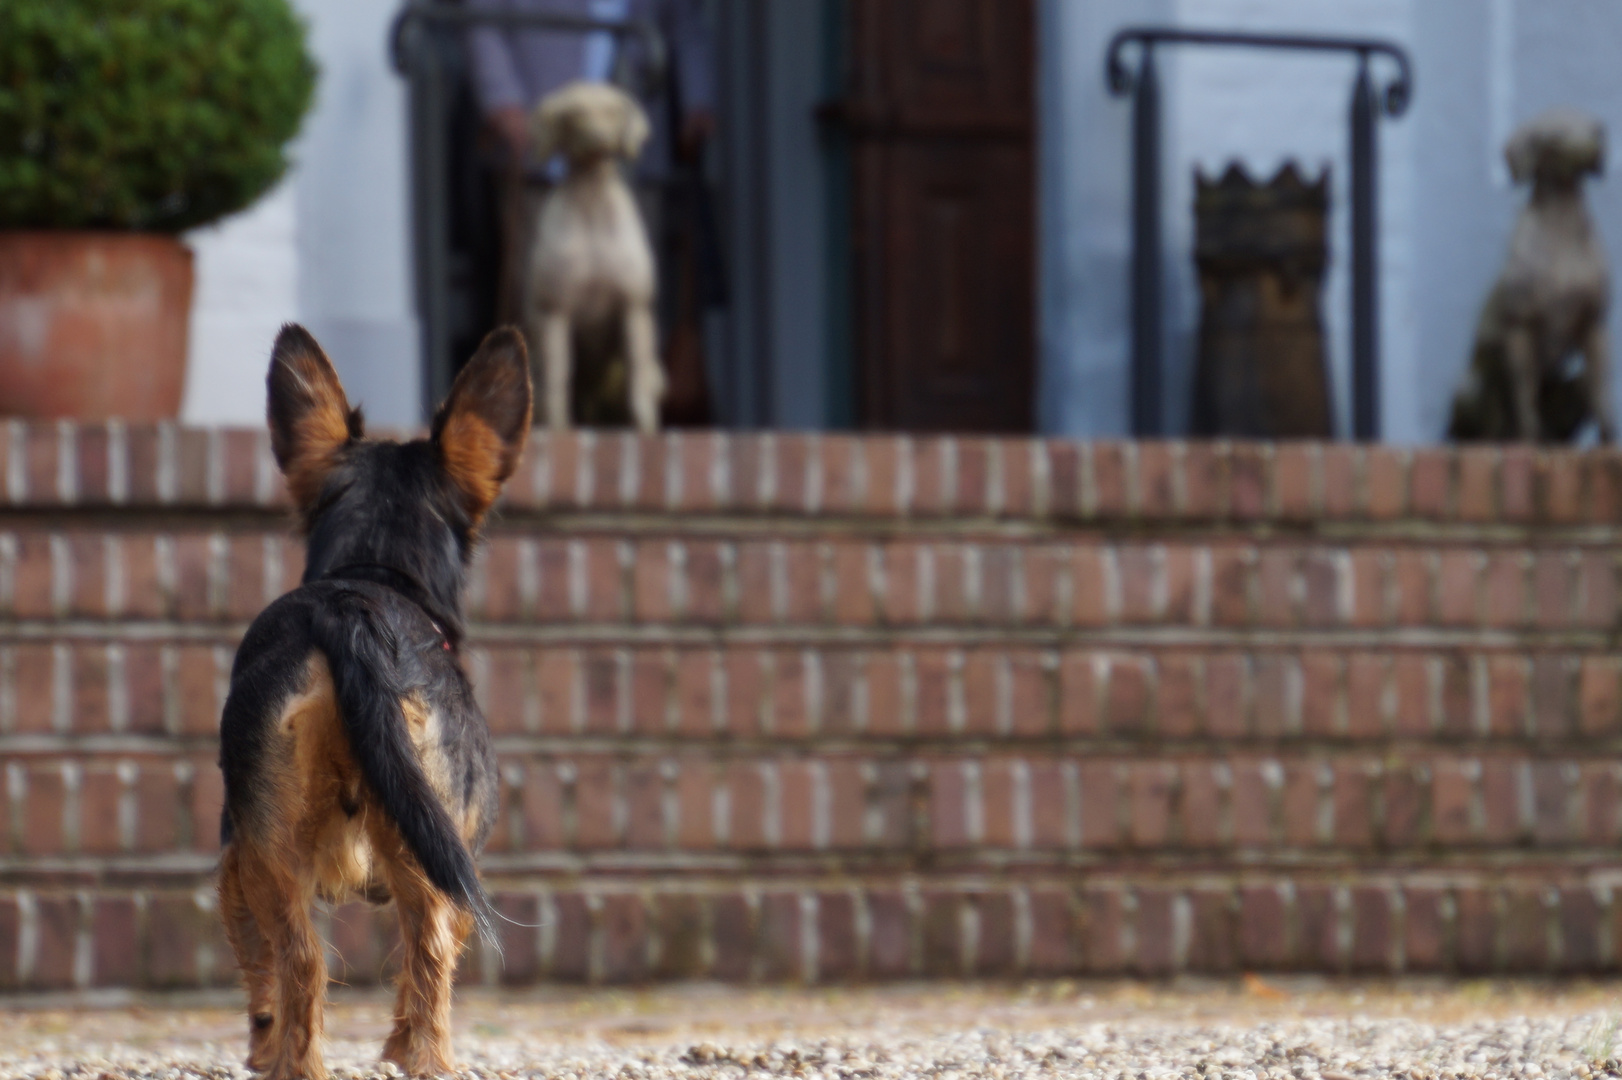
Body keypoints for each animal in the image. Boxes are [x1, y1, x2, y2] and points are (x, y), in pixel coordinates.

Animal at [215, 321, 528, 1076]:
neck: (373, 570)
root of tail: (351, 609)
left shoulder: (236, 861)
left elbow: (262, 980)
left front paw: (263, 1046)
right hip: (417, 853)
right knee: (421, 960)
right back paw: (426, 1060)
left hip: (270, 849)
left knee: (302, 963)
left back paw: (297, 1062)